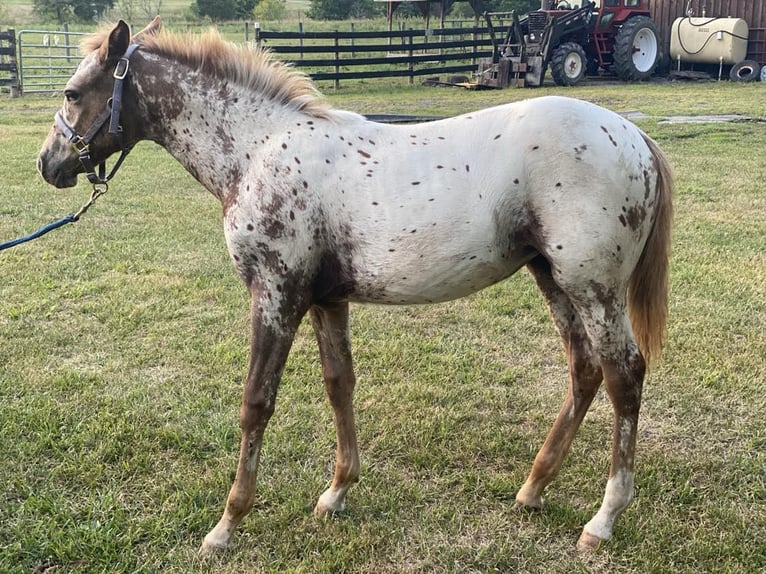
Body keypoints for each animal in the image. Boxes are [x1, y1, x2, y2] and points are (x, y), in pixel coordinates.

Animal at [37, 20, 672, 556]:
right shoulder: (327, 300)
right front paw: (337, 492)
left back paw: (602, 520)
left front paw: (227, 524)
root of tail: (636, 136)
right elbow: (339, 385)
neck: (257, 151)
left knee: (624, 375)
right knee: (585, 369)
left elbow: (256, 402)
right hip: (554, 279)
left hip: (594, 288)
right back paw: (533, 488)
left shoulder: (276, 294)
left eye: (73, 92)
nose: (48, 164)